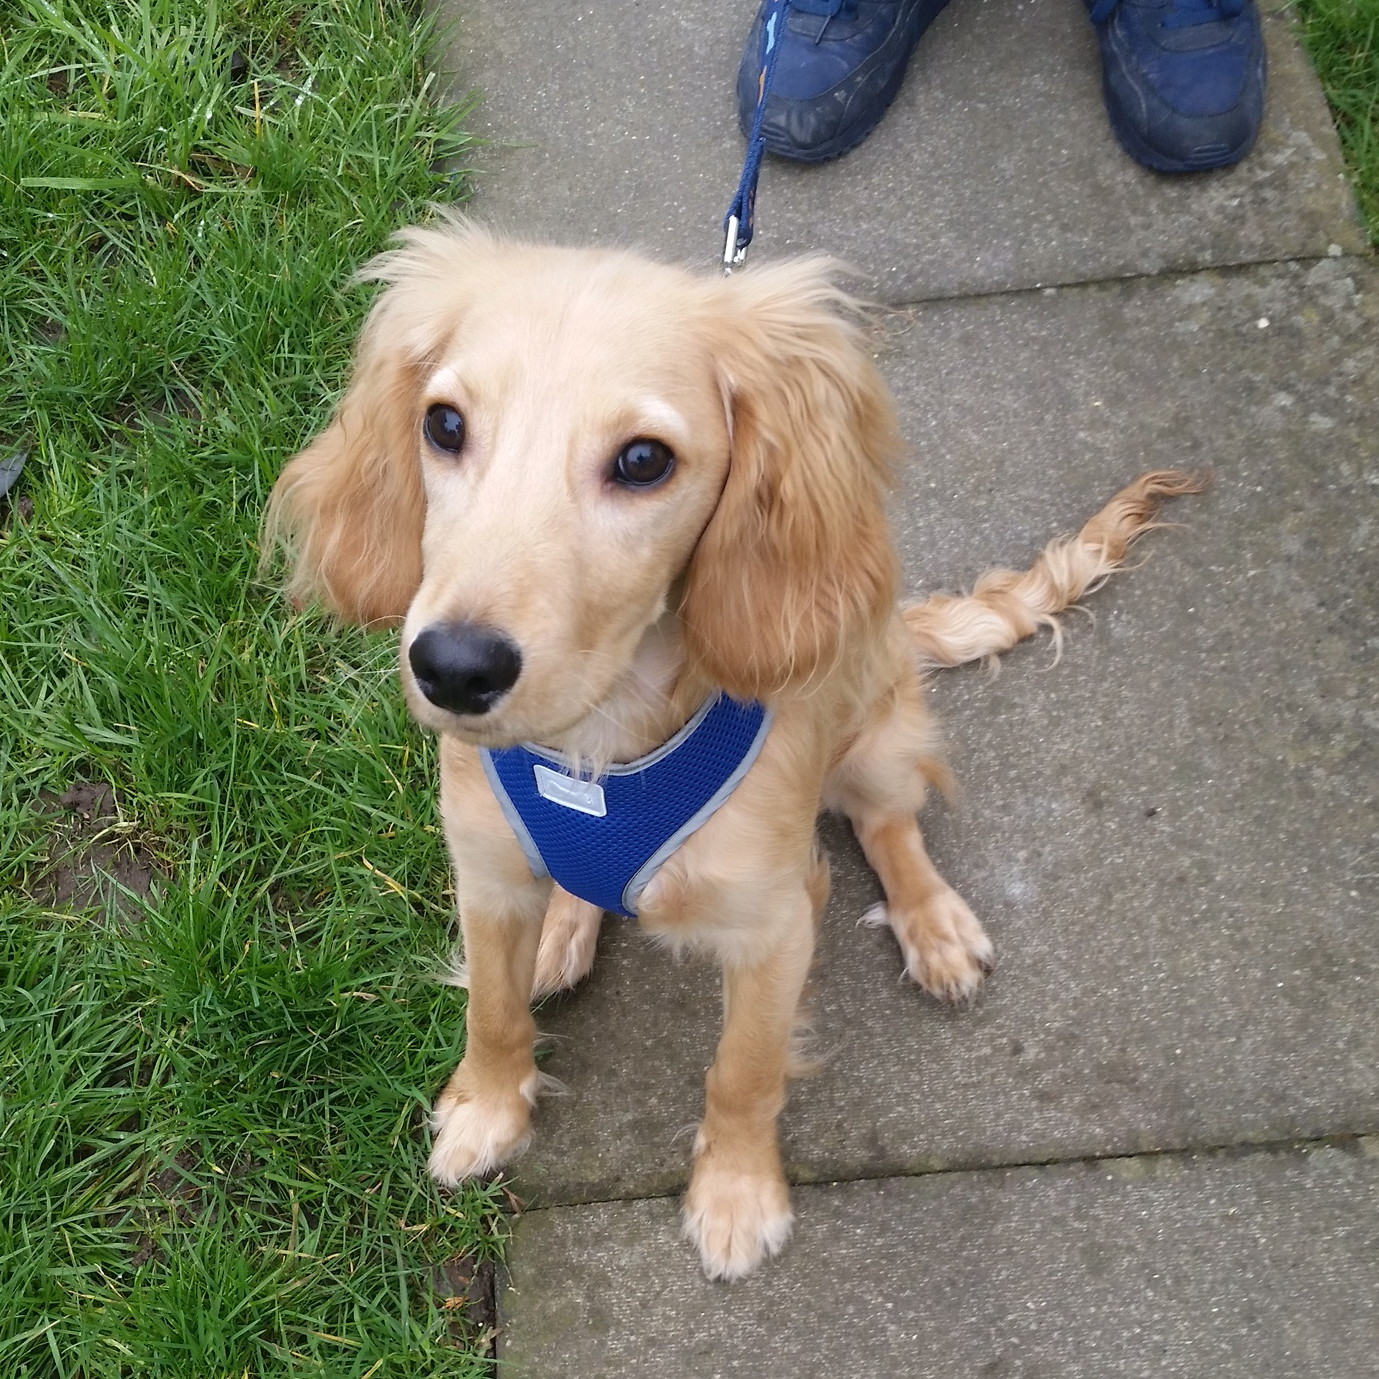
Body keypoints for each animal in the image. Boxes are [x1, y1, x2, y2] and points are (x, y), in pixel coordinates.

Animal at [266, 215, 1196, 1279]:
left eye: (642, 460)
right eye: (445, 426)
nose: (453, 669)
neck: (596, 748)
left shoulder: (773, 927)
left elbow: (744, 1072)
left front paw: (737, 1193)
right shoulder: (488, 874)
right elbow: (492, 1011)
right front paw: (487, 1110)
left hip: (876, 735)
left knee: (889, 824)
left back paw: (932, 923)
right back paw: (566, 930)